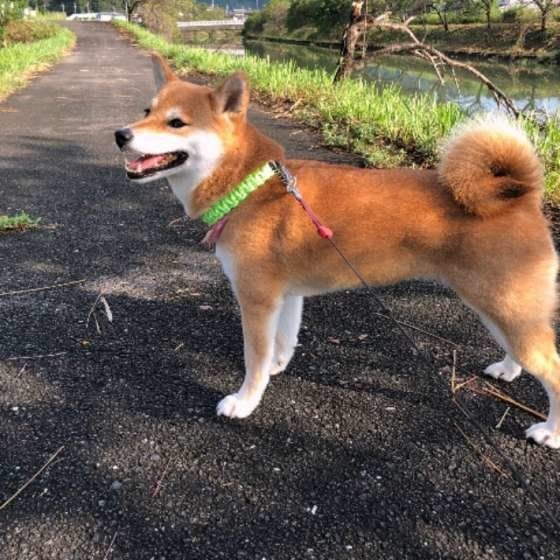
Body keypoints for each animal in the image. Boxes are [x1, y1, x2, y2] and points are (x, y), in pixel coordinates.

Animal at [115, 53, 560, 449]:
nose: (121, 135)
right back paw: (507, 369)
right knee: (520, 349)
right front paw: (276, 368)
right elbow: (282, 342)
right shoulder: (286, 295)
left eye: (176, 122)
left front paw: (244, 402)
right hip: (498, 308)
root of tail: (524, 196)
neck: (249, 186)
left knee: (552, 369)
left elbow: (253, 359)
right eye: (146, 110)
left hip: (505, 305)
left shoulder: (256, 299)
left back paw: (550, 433)